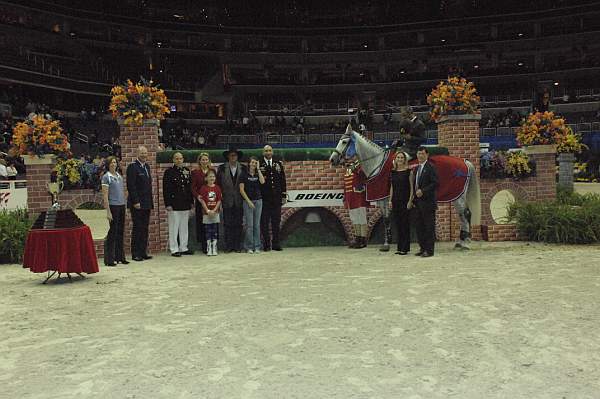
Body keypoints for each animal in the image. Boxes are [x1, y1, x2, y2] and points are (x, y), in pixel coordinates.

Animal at [330, 123, 480, 252]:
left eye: (344, 142)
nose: (332, 159)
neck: (378, 163)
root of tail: (464, 161)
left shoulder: (384, 198)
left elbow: (386, 219)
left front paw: (386, 243)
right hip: (456, 196)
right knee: (462, 215)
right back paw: (460, 242)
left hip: (459, 196)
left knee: (466, 214)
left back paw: (465, 243)